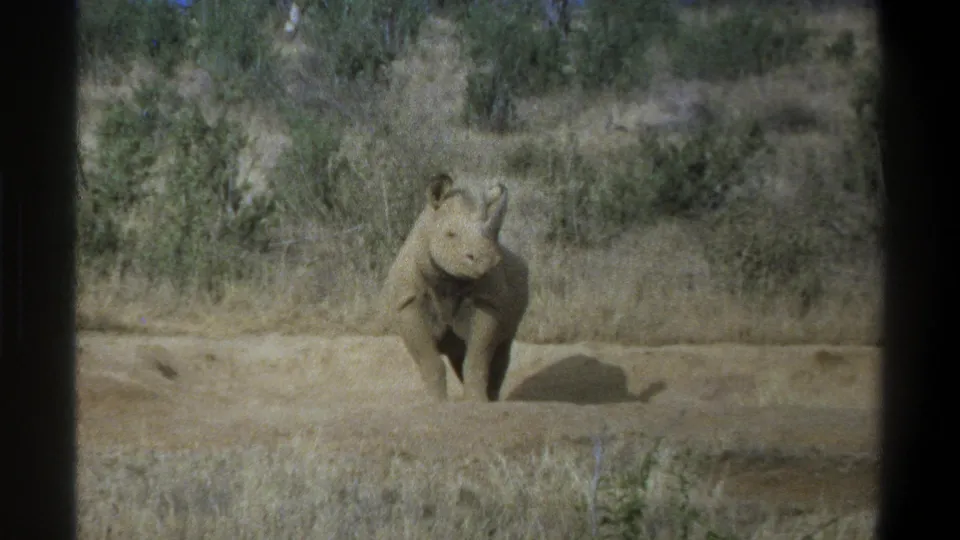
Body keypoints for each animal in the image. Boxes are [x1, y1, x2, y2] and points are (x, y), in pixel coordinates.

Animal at [383, 173, 530, 402]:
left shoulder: (488, 300)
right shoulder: (407, 301)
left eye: (493, 235)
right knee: (459, 354)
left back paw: (492, 399)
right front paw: (435, 402)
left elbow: (478, 357)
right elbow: (429, 360)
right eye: (450, 234)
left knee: (501, 348)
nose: (487, 259)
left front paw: (477, 402)